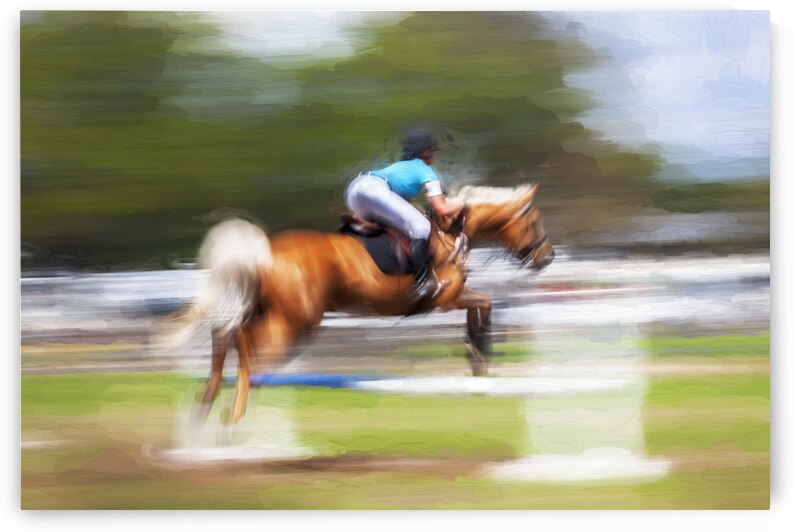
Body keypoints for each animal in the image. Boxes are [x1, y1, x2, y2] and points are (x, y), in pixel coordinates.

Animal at [172, 183, 554, 426]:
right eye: (534, 220)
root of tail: (262, 251)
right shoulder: (446, 297)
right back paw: (231, 416)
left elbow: (481, 309)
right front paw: (481, 353)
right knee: (246, 344)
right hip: (295, 322)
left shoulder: (455, 298)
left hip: (267, 311)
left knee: (225, 333)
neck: (450, 232)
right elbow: (485, 304)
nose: (549, 257)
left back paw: (205, 403)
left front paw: (476, 357)